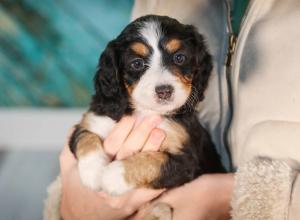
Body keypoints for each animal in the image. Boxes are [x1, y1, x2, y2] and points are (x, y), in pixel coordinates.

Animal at [43, 14, 224, 219]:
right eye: (137, 63)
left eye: (179, 58)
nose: (164, 91)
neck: (145, 112)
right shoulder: (92, 121)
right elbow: (86, 138)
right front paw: (94, 172)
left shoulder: (187, 161)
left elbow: (154, 161)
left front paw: (112, 176)